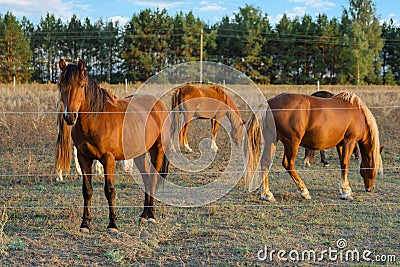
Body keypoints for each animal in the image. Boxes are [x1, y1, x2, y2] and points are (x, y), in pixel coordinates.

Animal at [56, 59, 169, 234]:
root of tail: (159, 104)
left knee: (153, 178)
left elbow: (109, 191)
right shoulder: (83, 158)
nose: (70, 117)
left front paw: (112, 225)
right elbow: (87, 190)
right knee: (146, 178)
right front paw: (85, 224)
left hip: (157, 150)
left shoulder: (108, 159)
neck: (96, 119)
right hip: (139, 153)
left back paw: (151, 216)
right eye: (61, 85)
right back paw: (143, 215)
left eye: (81, 85)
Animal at [244, 91, 382, 201]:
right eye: (374, 168)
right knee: (288, 164)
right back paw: (304, 191)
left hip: (271, 140)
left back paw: (267, 194)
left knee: (265, 162)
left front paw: (344, 188)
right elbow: (345, 163)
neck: (356, 112)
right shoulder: (350, 141)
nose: (370, 188)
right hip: (292, 142)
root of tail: (269, 104)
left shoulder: (341, 144)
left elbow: (342, 163)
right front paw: (346, 191)